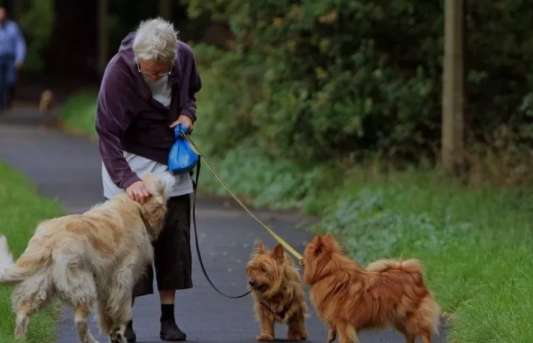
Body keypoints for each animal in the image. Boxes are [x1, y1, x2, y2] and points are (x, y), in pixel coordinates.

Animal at [0, 175, 169, 343]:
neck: (132, 205)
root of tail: (50, 241)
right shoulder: (123, 278)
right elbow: (122, 312)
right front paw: (119, 333)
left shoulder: (106, 285)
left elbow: (106, 313)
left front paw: (113, 332)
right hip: (83, 285)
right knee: (79, 320)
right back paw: (91, 340)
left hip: (40, 286)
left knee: (22, 314)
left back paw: (20, 338)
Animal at [302, 235, 438, 342]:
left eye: (305, 253)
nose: (301, 260)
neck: (329, 272)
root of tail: (413, 273)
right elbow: (332, 332)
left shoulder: (344, 324)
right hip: (400, 319)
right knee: (411, 335)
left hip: (413, 318)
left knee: (424, 333)